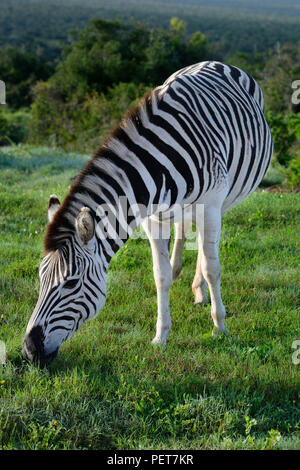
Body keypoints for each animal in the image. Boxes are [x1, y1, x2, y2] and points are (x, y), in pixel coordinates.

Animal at [22, 60, 274, 366]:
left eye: (70, 284)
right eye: (40, 278)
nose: (29, 350)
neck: (161, 164)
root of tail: (214, 62)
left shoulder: (212, 205)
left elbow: (213, 269)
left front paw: (220, 326)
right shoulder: (152, 219)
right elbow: (160, 275)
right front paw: (161, 335)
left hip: (223, 200)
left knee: (206, 250)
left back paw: (202, 289)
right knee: (184, 232)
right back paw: (191, 282)